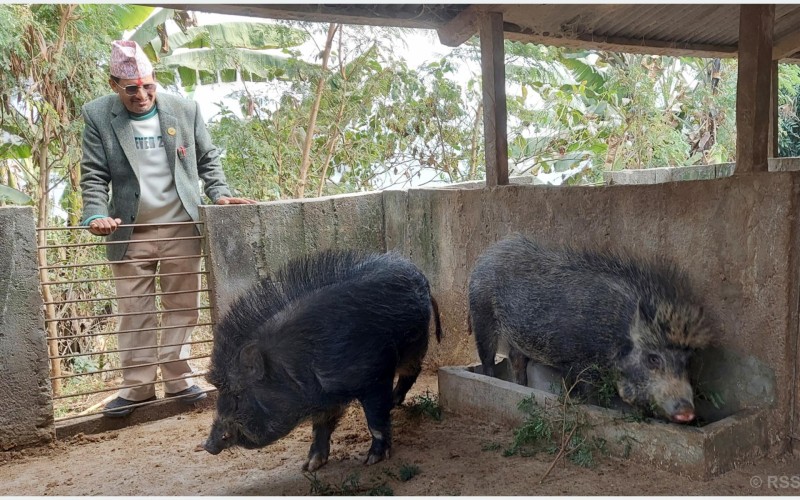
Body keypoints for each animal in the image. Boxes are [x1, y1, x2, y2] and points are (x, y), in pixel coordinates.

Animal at [203, 250, 440, 472]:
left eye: (237, 395)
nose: (207, 445)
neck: (294, 365)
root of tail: (418, 273)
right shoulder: (324, 398)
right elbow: (320, 427)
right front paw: (309, 466)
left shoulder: (375, 376)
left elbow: (375, 420)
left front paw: (372, 460)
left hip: (416, 343)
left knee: (412, 371)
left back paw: (394, 401)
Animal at [468, 236, 712, 424]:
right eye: (653, 359)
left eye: (687, 361)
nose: (688, 413)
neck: (615, 333)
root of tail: (488, 252)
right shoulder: (576, 363)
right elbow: (581, 394)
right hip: (482, 314)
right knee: (488, 357)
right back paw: (493, 379)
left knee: (516, 358)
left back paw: (522, 386)